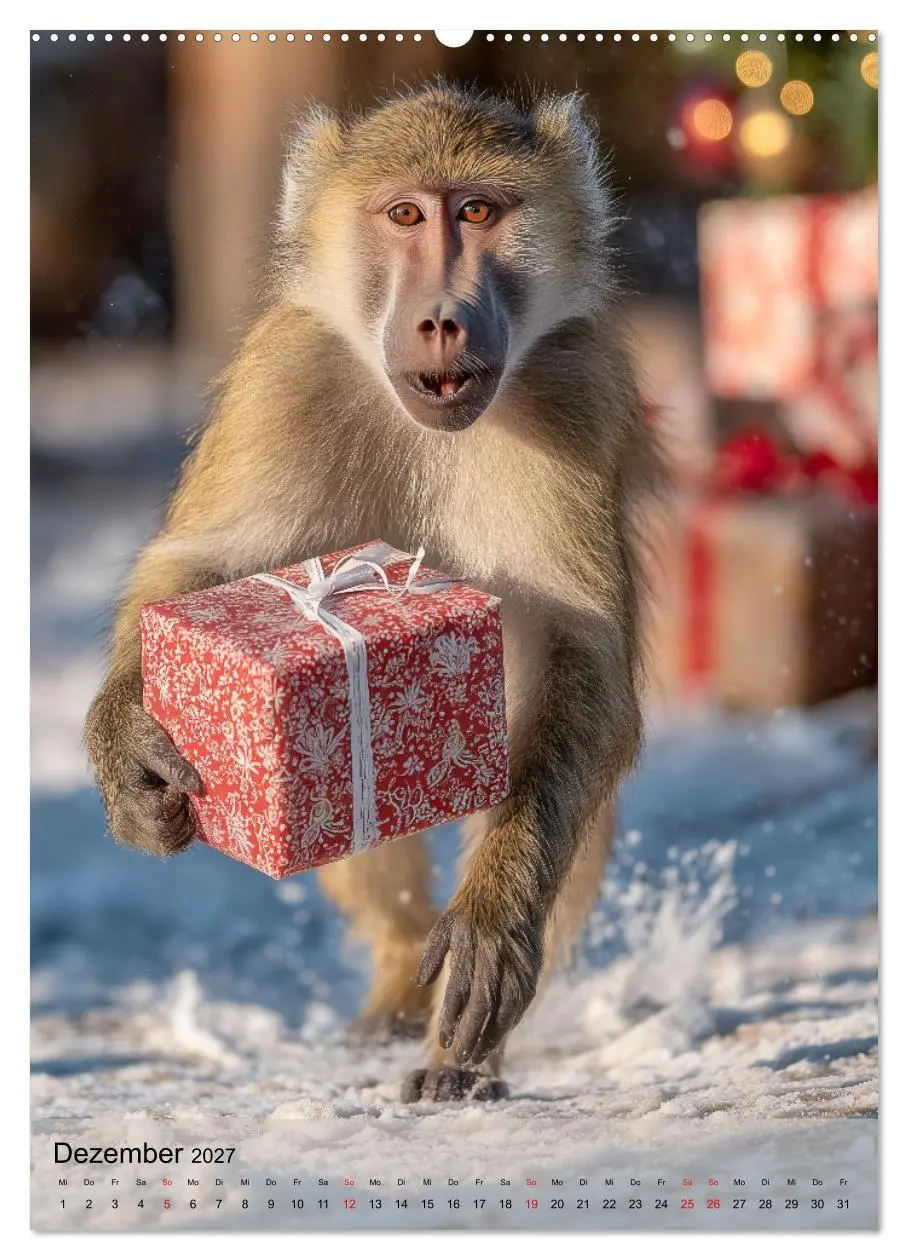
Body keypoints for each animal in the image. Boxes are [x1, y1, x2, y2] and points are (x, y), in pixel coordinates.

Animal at [84, 82, 660, 1104]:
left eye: (478, 211)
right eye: (405, 217)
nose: (442, 319)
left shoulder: (575, 387)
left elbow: (582, 663)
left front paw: (493, 926)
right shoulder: (284, 378)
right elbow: (194, 566)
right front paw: (131, 750)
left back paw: (460, 1056)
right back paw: (398, 983)